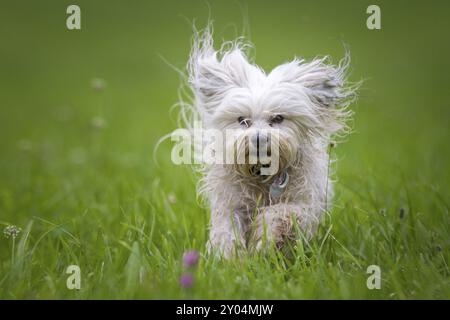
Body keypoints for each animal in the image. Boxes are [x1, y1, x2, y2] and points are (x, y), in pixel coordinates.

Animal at [178, 26, 356, 258]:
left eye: (278, 118)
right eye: (243, 120)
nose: (259, 138)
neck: (262, 176)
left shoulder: (303, 205)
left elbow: (278, 213)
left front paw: (262, 242)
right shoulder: (231, 202)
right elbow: (227, 227)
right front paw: (229, 256)